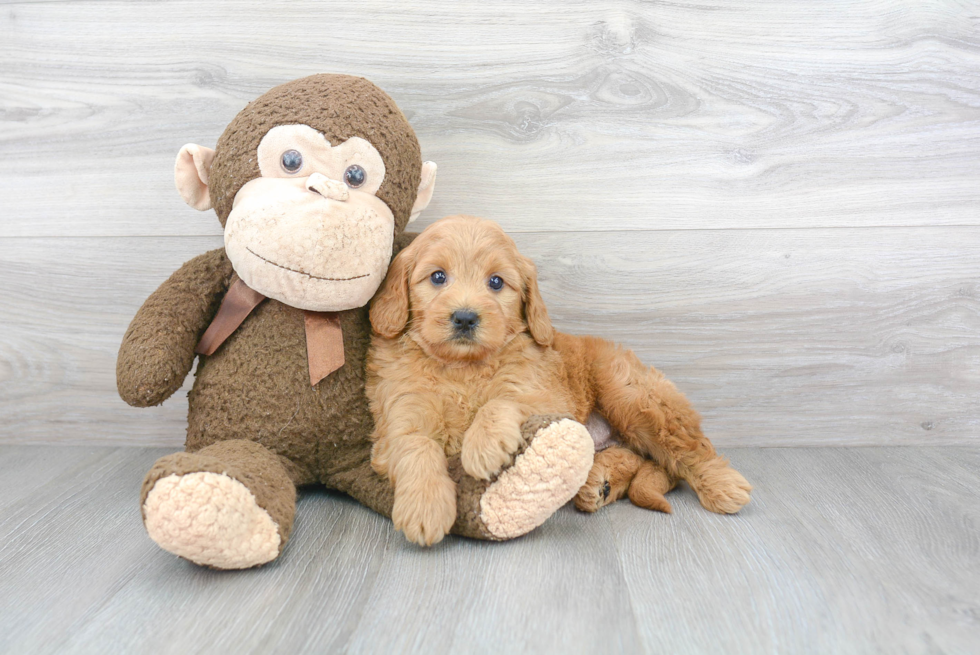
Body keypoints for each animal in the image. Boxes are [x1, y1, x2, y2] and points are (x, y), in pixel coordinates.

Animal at [368, 218, 752, 544]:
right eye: (437, 277)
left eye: (496, 282)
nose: (464, 318)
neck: (462, 368)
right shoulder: (398, 413)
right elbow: (416, 446)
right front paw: (425, 508)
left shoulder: (545, 393)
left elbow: (503, 400)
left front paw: (484, 444)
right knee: (645, 460)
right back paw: (600, 484)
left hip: (633, 398)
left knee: (685, 450)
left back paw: (722, 485)